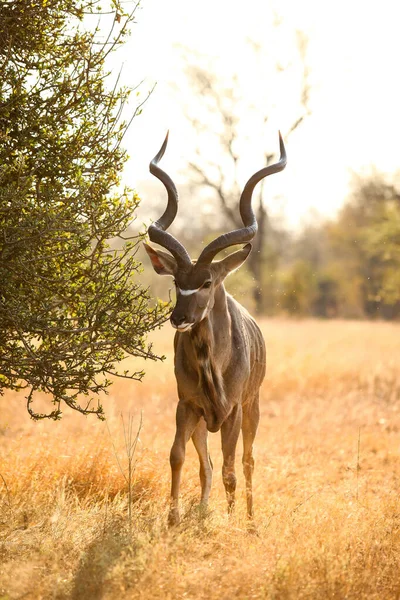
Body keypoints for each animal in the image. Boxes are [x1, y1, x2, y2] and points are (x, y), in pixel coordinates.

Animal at [145, 131, 286, 524]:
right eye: (177, 281)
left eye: (207, 282)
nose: (179, 318)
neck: (213, 363)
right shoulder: (188, 406)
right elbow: (179, 457)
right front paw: (174, 518)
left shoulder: (234, 410)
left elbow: (231, 470)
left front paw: (233, 521)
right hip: (204, 422)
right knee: (205, 464)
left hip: (253, 409)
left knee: (247, 461)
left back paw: (249, 522)